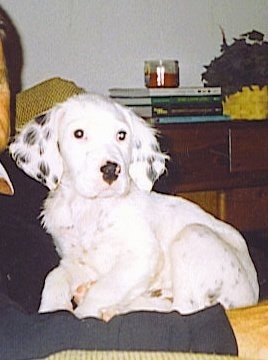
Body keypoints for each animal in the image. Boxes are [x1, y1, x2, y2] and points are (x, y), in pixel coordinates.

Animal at [9, 93, 258, 320]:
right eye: (78, 134)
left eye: (121, 135)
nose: (111, 170)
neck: (91, 209)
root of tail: (251, 297)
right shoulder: (81, 261)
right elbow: (55, 276)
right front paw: (52, 309)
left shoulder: (143, 256)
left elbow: (103, 289)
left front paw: (83, 313)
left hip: (193, 235)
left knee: (183, 309)